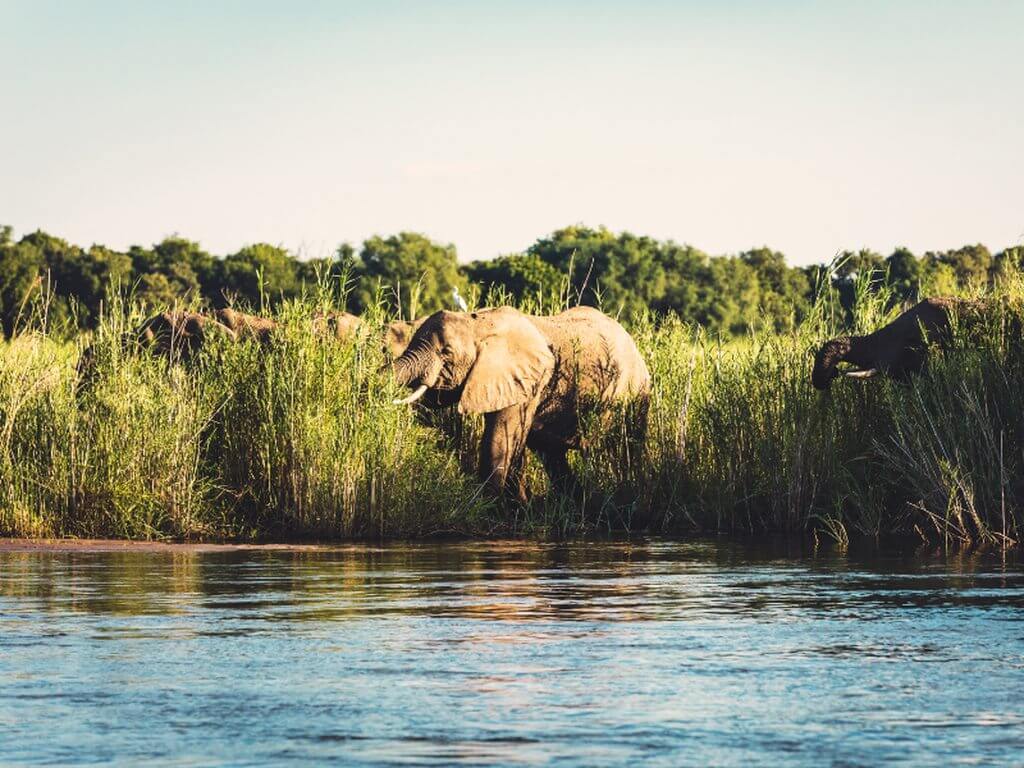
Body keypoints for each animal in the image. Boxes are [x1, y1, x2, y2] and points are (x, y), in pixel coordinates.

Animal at [387, 309, 651, 501]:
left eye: (446, 352)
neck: (478, 323)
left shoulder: (528, 381)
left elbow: (499, 442)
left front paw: (488, 508)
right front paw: (517, 508)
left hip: (630, 394)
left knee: (616, 450)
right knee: (553, 456)